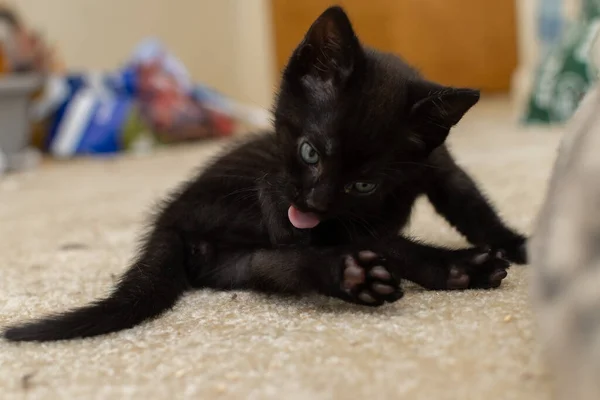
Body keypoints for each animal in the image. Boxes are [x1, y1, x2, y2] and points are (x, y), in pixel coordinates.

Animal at [7, 6, 528, 342]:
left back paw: (355, 276)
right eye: (309, 152)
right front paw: (472, 258)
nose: (314, 204)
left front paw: (516, 244)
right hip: (246, 204)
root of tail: (170, 221)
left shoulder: (437, 166)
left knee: (279, 264)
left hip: (238, 262)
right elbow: (383, 235)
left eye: (364, 183)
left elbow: (470, 204)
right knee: (335, 244)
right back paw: (434, 269)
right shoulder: (317, 212)